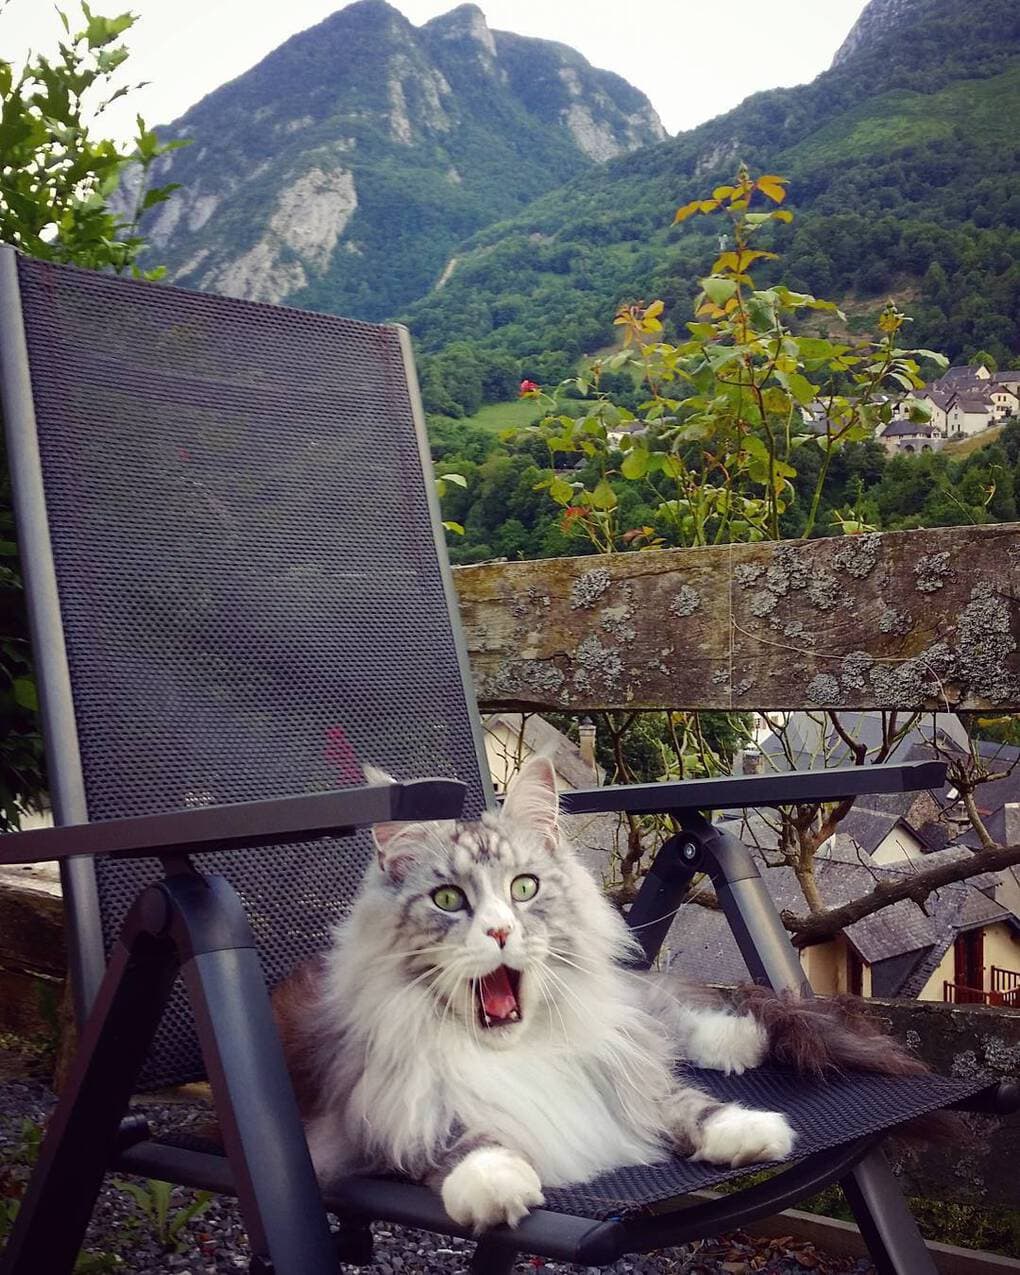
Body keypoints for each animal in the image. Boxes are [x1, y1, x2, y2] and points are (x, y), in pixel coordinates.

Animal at [275, 754, 928, 1234]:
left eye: (524, 888)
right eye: (449, 900)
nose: (500, 931)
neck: (517, 1050)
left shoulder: (617, 1070)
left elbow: (681, 1102)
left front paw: (747, 1131)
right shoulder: (383, 1111)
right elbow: (464, 1143)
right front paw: (496, 1183)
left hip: (632, 1014)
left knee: (666, 1019)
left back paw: (739, 1041)